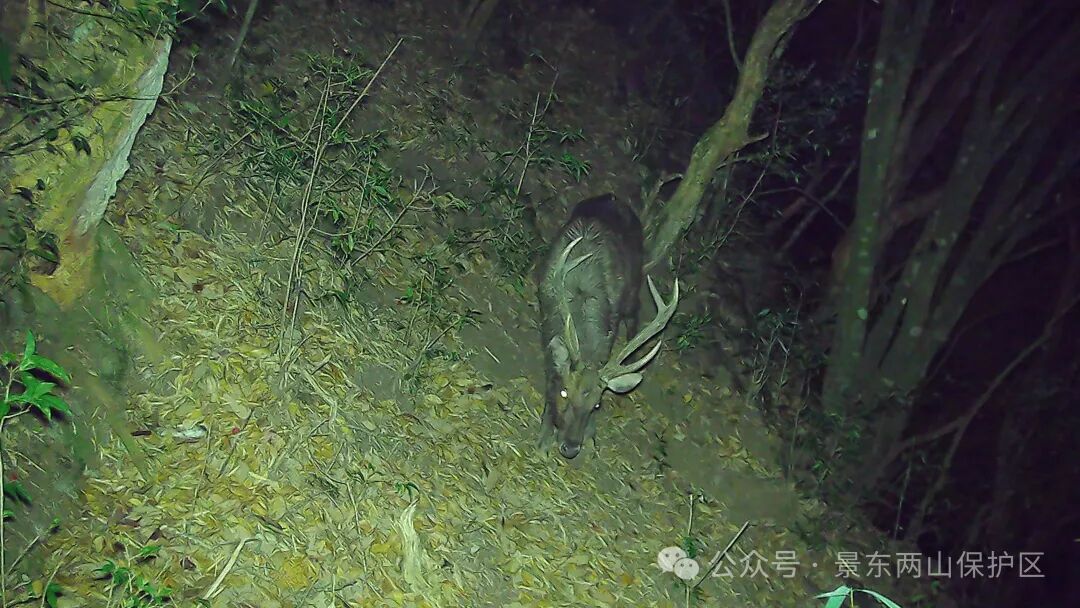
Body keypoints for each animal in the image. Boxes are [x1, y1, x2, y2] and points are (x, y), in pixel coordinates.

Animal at [537, 193, 679, 459]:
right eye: (564, 393)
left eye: (597, 404)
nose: (571, 447)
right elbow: (551, 373)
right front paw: (544, 435)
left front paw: (591, 438)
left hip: (633, 287)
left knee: (634, 316)